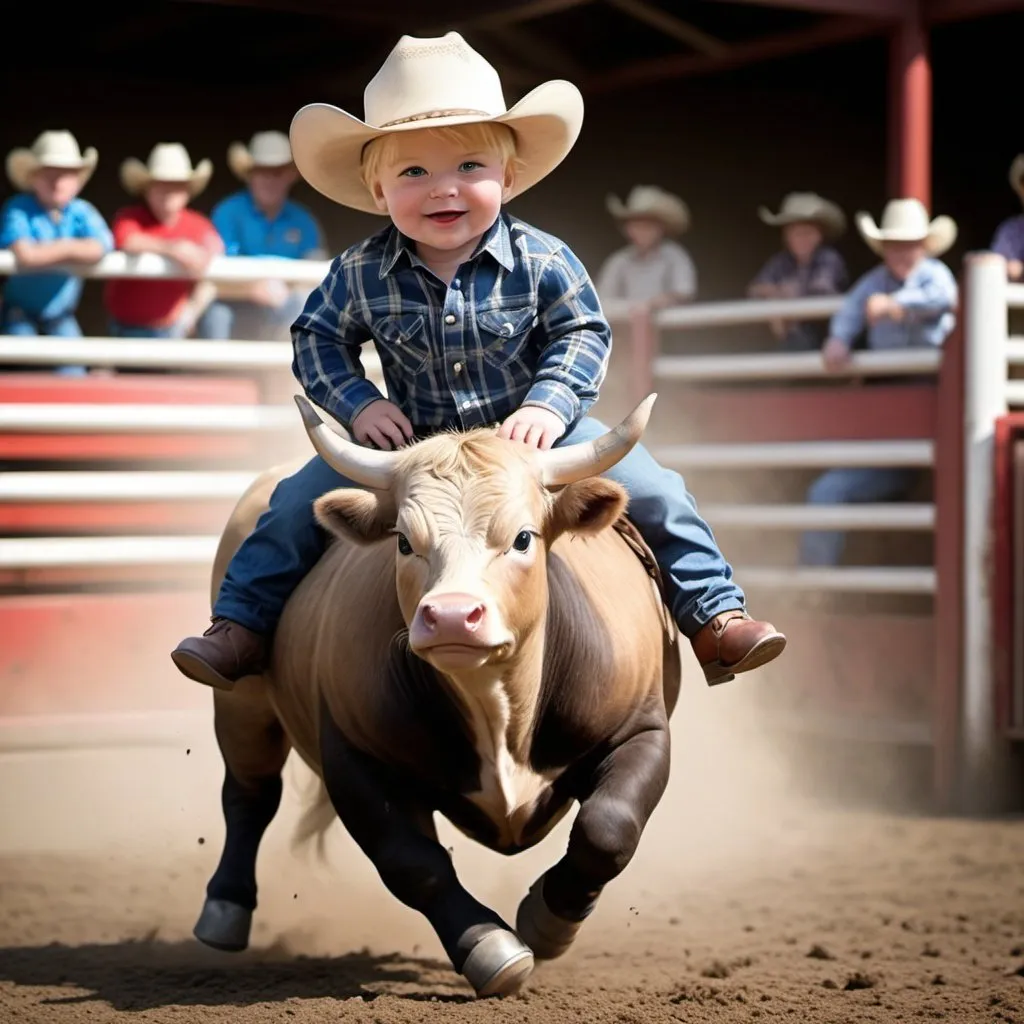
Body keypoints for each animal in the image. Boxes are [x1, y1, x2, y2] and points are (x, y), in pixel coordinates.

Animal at [195, 393, 684, 999]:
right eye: (405, 542)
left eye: (523, 538)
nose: (452, 615)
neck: (497, 709)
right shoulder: (353, 757)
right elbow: (413, 863)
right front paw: (493, 948)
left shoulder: (641, 729)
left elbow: (608, 827)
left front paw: (545, 923)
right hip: (243, 706)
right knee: (250, 794)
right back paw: (224, 908)